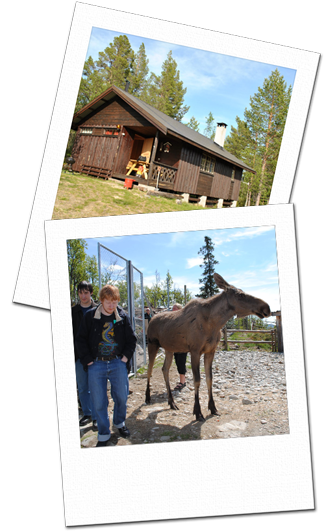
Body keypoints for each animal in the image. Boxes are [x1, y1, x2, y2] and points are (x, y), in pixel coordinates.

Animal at [146, 274, 270, 420]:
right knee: (149, 370)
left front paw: (213, 408)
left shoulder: (211, 351)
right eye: (240, 294)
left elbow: (210, 379)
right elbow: (197, 381)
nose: (266, 307)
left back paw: (171, 402)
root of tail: (151, 318)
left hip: (169, 348)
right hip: (152, 344)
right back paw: (147, 397)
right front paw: (198, 411)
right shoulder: (195, 351)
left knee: (164, 369)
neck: (215, 323)